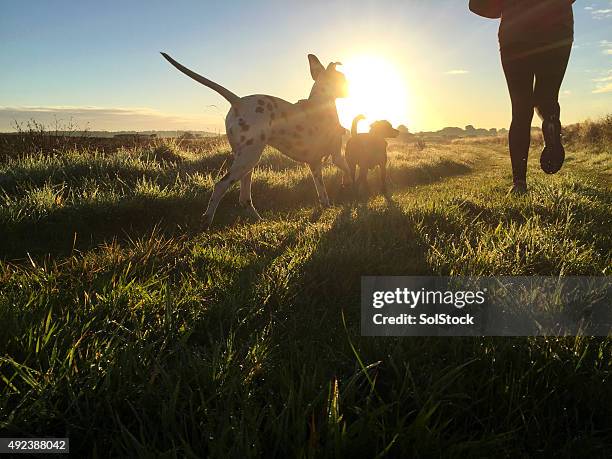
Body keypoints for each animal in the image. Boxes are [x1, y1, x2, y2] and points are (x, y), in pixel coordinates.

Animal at [159, 52, 350, 228]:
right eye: (342, 78)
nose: (349, 88)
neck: (321, 103)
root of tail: (239, 102)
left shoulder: (315, 164)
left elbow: (322, 193)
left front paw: (327, 205)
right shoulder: (337, 157)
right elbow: (349, 171)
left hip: (246, 161)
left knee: (244, 198)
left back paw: (258, 219)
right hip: (249, 158)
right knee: (220, 186)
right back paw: (207, 220)